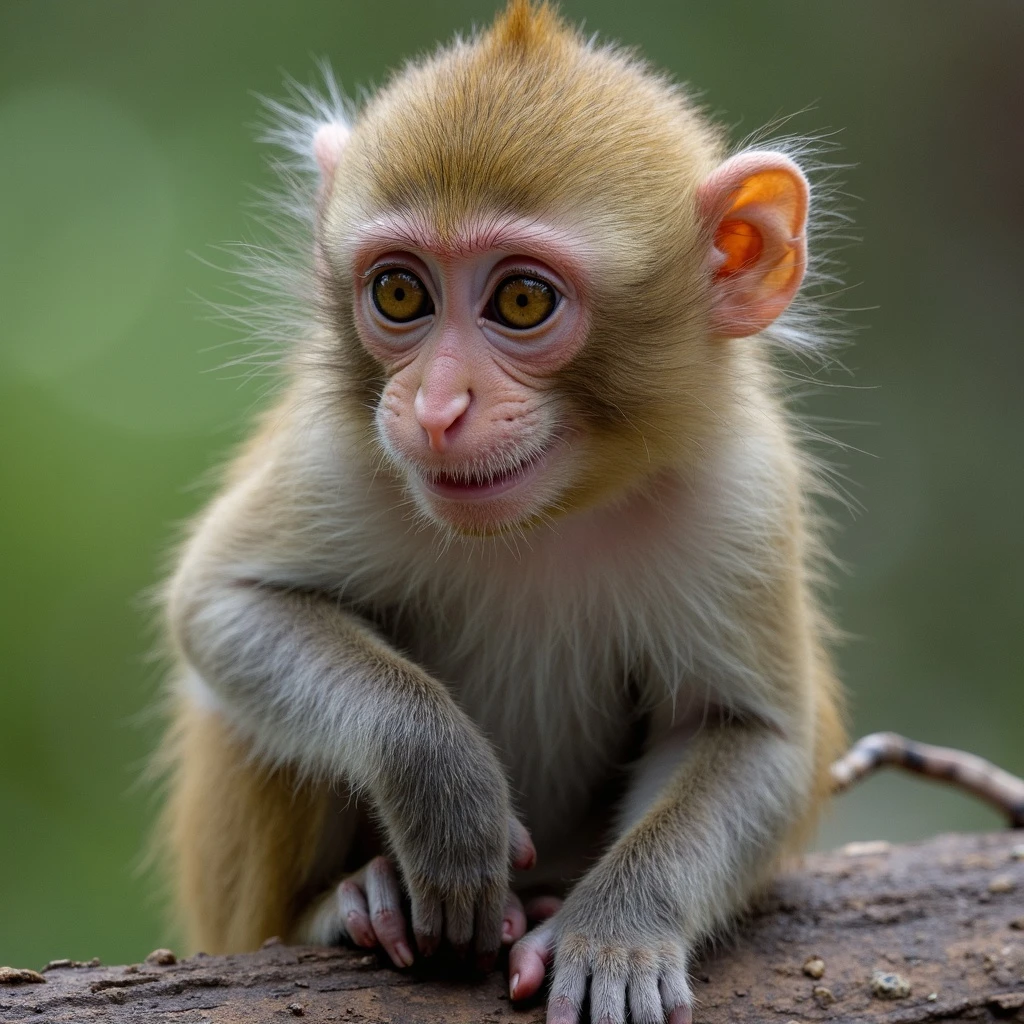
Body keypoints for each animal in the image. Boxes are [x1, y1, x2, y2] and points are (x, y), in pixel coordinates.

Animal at [158, 3, 847, 1023]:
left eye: (522, 299)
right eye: (400, 290)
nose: (437, 408)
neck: (548, 516)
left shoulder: (745, 496)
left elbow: (750, 734)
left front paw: (618, 932)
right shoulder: (342, 445)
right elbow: (223, 604)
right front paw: (441, 785)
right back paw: (348, 904)